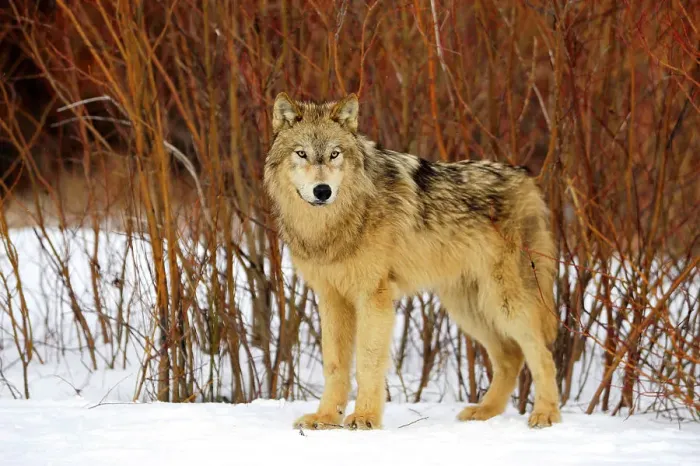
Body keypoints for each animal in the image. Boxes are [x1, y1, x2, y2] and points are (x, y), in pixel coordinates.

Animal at [263, 92, 561, 430]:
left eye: (334, 154)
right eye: (301, 153)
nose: (322, 191)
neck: (333, 224)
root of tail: (527, 180)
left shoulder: (374, 297)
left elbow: (367, 362)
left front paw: (365, 418)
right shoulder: (331, 299)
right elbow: (336, 364)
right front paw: (326, 418)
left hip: (506, 304)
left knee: (542, 354)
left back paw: (545, 414)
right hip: (468, 309)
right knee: (511, 357)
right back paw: (484, 412)